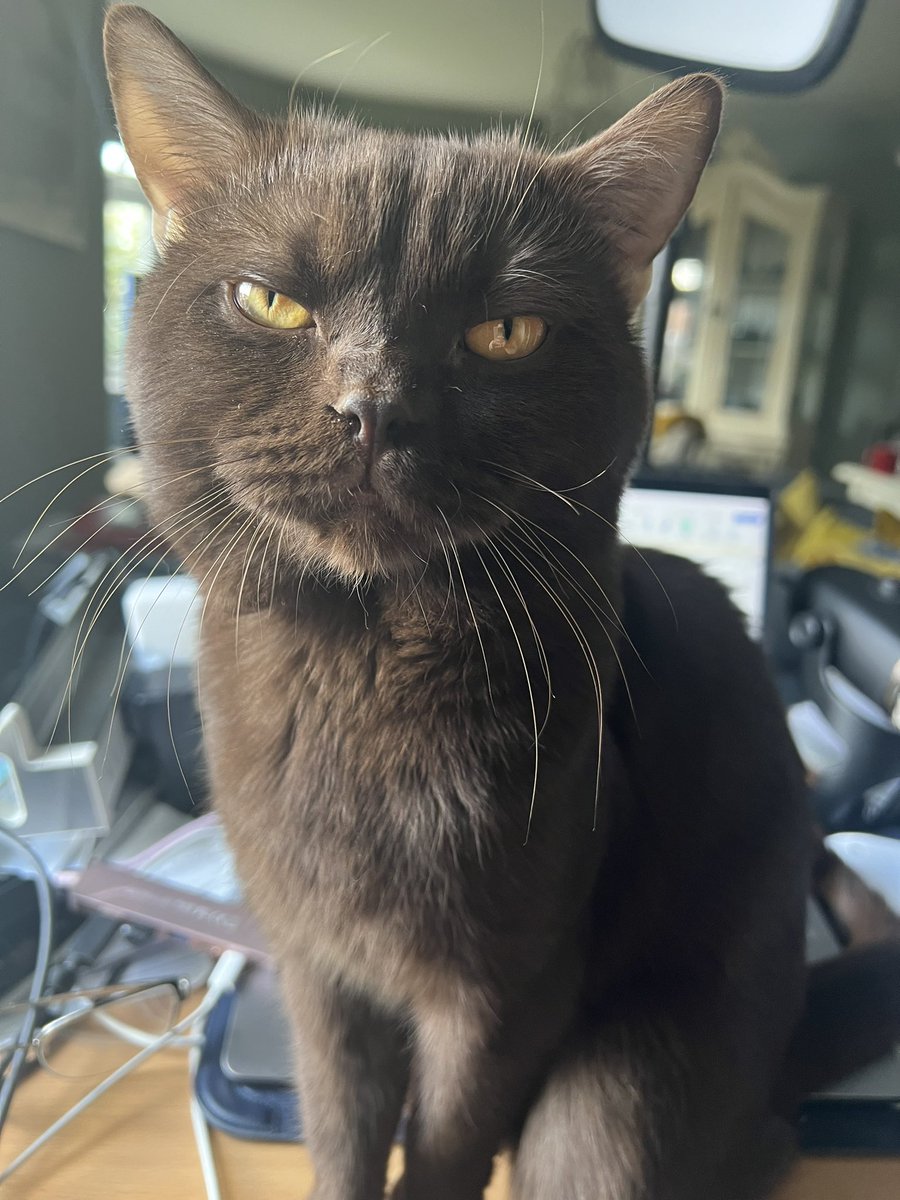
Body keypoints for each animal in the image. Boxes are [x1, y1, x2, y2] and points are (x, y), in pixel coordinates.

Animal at [102, 9, 897, 1200]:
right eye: (271, 301)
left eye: (506, 333)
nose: (373, 408)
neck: (357, 675)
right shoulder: (318, 970)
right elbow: (341, 1132)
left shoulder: (509, 992)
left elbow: (440, 1151)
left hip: (617, 1090)